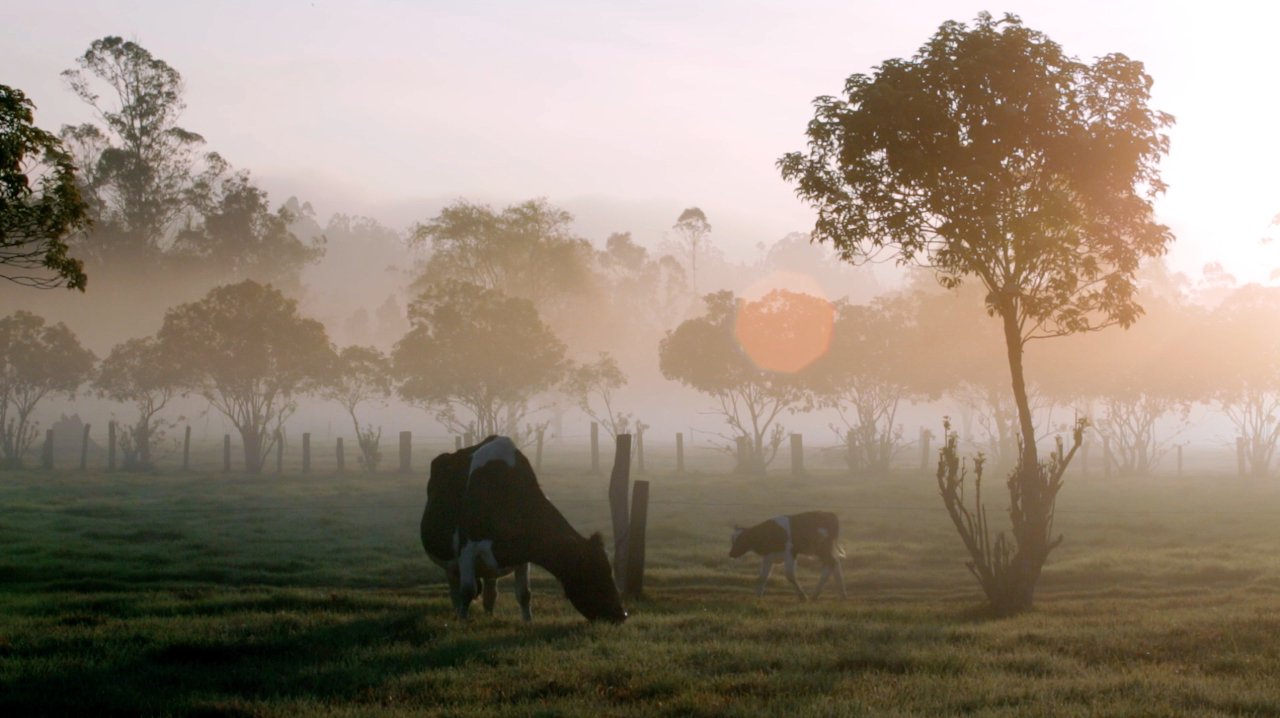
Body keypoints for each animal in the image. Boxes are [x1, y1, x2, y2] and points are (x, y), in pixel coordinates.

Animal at [419, 435, 624, 624]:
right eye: (593, 573)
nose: (622, 615)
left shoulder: (522, 553)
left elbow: (524, 593)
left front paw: (528, 622)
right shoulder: (467, 547)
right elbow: (467, 590)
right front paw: (463, 623)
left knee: (490, 592)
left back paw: (489, 615)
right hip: (449, 559)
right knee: (455, 590)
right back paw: (457, 615)